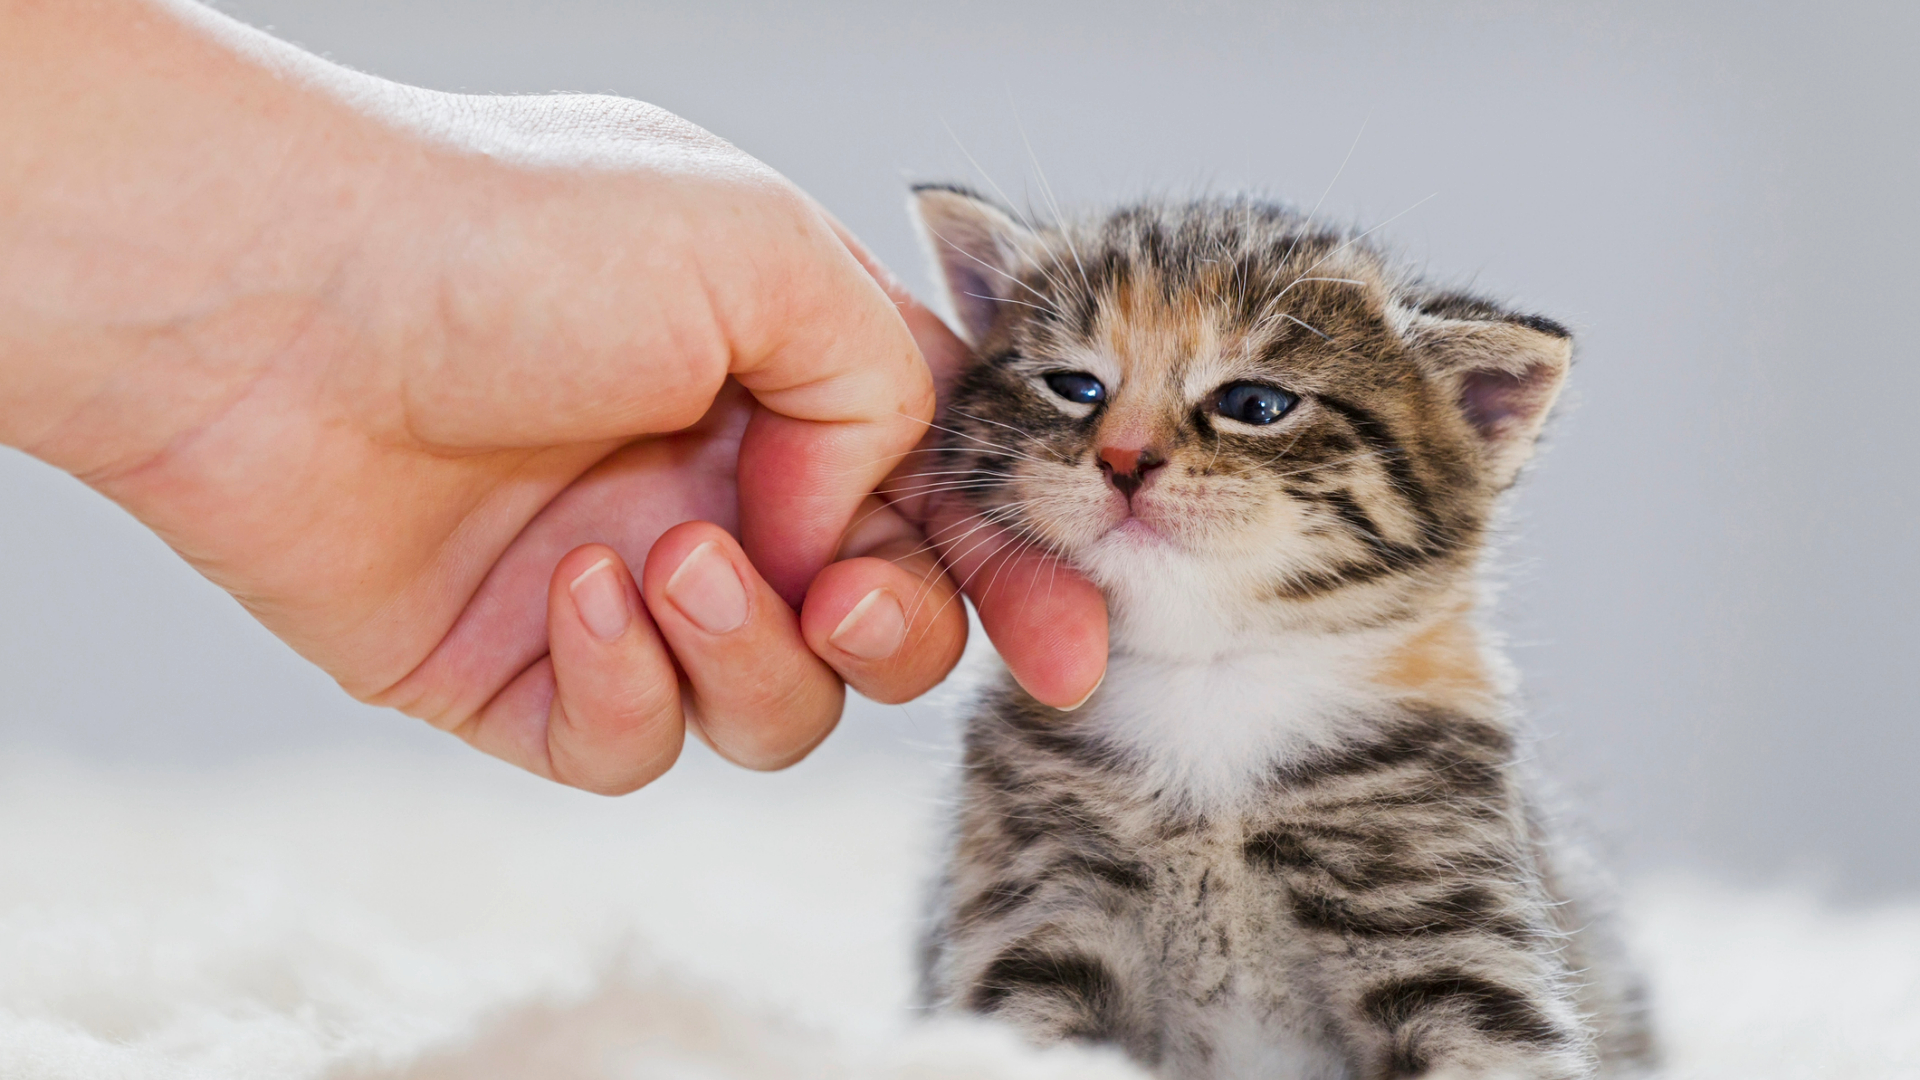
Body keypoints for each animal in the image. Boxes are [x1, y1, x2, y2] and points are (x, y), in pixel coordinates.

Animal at [910, 187, 1651, 1076]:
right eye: (1074, 387)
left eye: (1254, 406)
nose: (1124, 458)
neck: (1209, 680)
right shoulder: (1038, 913)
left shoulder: (1454, 941)